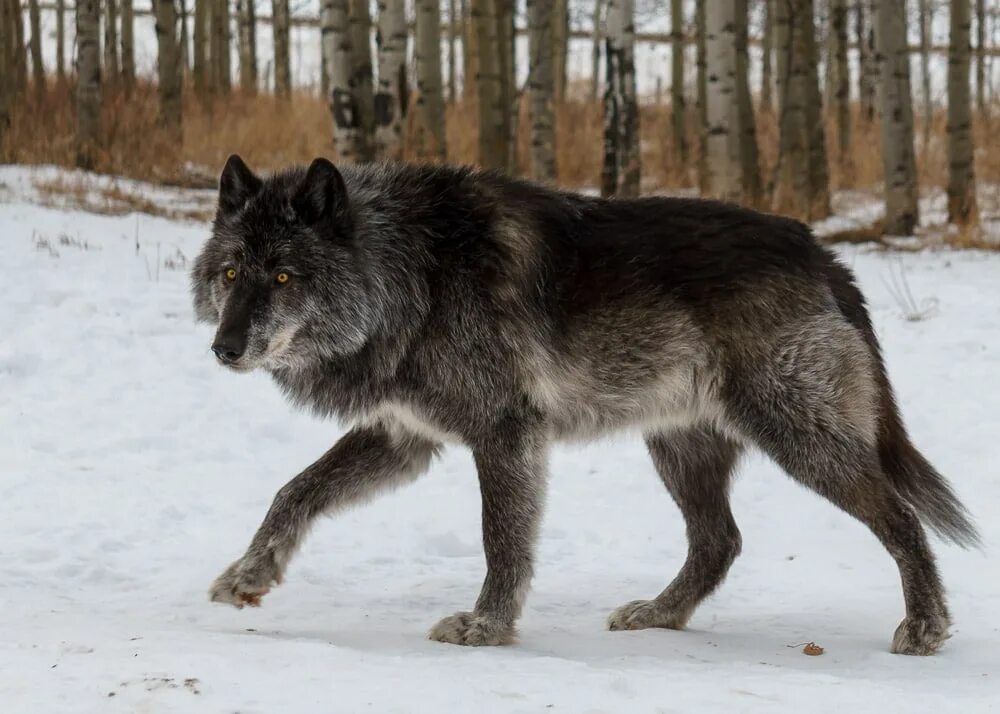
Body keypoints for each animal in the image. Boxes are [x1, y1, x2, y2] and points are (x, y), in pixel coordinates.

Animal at [189, 154, 976, 652]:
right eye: (230, 273)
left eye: (284, 276)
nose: (224, 348)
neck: (414, 269)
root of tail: (826, 256)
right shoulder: (402, 437)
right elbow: (293, 491)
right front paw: (249, 574)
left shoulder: (506, 433)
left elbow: (501, 540)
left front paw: (486, 628)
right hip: (680, 448)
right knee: (719, 540)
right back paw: (660, 613)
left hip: (799, 438)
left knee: (899, 518)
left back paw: (927, 628)